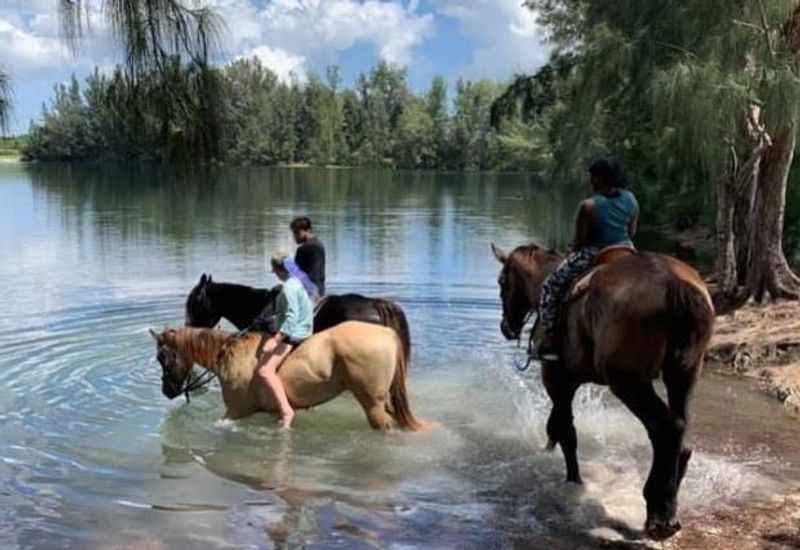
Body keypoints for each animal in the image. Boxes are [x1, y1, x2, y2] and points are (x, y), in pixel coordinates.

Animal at [151, 324, 424, 432]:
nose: (167, 391)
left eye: (161, 357)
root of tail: (386, 332)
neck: (231, 354)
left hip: (373, 405)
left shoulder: (235, 411)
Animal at [490, 244, 716, 540]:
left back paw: (659, 512)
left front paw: (573, 479)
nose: (506, 327)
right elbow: (558, 424)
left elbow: (566, 430)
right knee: (682, 435)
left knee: (667, 428)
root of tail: (675, 285)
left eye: (502, 282)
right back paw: (668, 509)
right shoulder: (570, 381)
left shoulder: (556, 377)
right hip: (684, 374)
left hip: (628, 382)